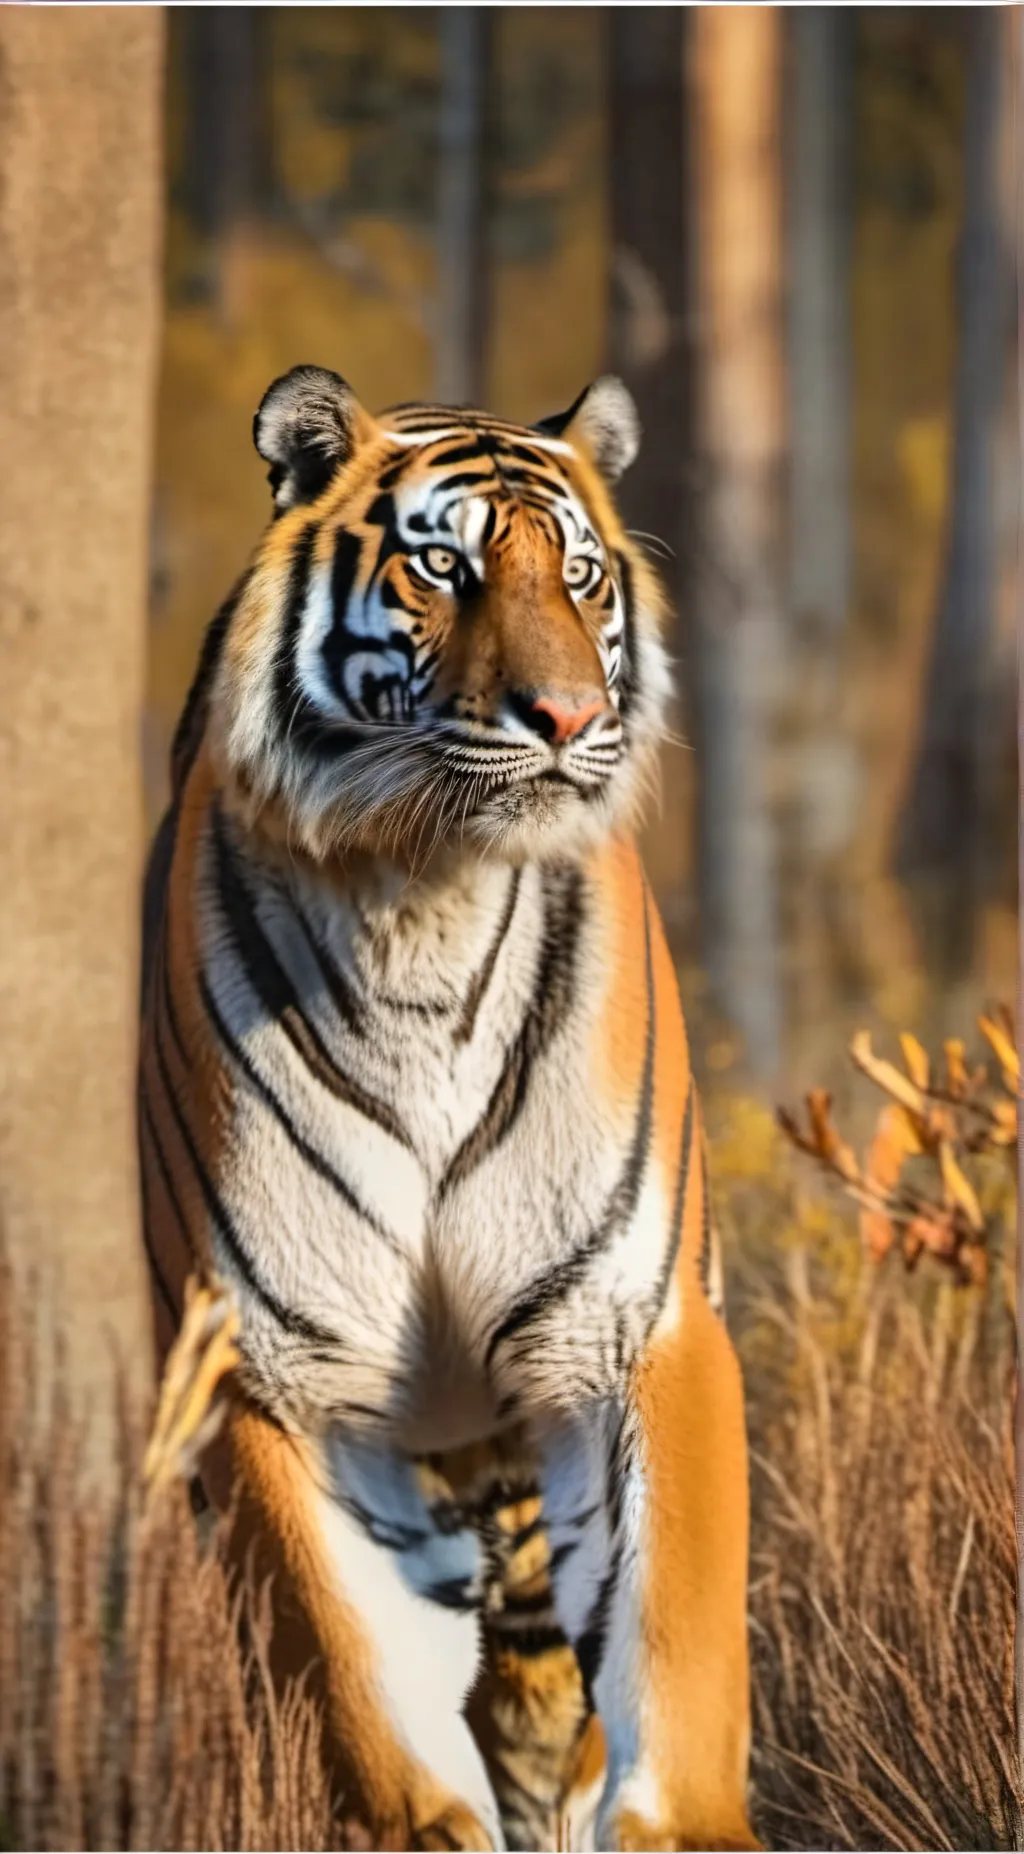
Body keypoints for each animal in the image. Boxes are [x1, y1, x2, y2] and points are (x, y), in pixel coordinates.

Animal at [138, 363, 757, 1853]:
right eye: (443, 567)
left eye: (579, 576)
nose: (570, 719)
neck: (424, 895)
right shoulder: (276, 1376)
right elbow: (363, 1697)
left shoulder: (630, 1325)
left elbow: (674, 1652)